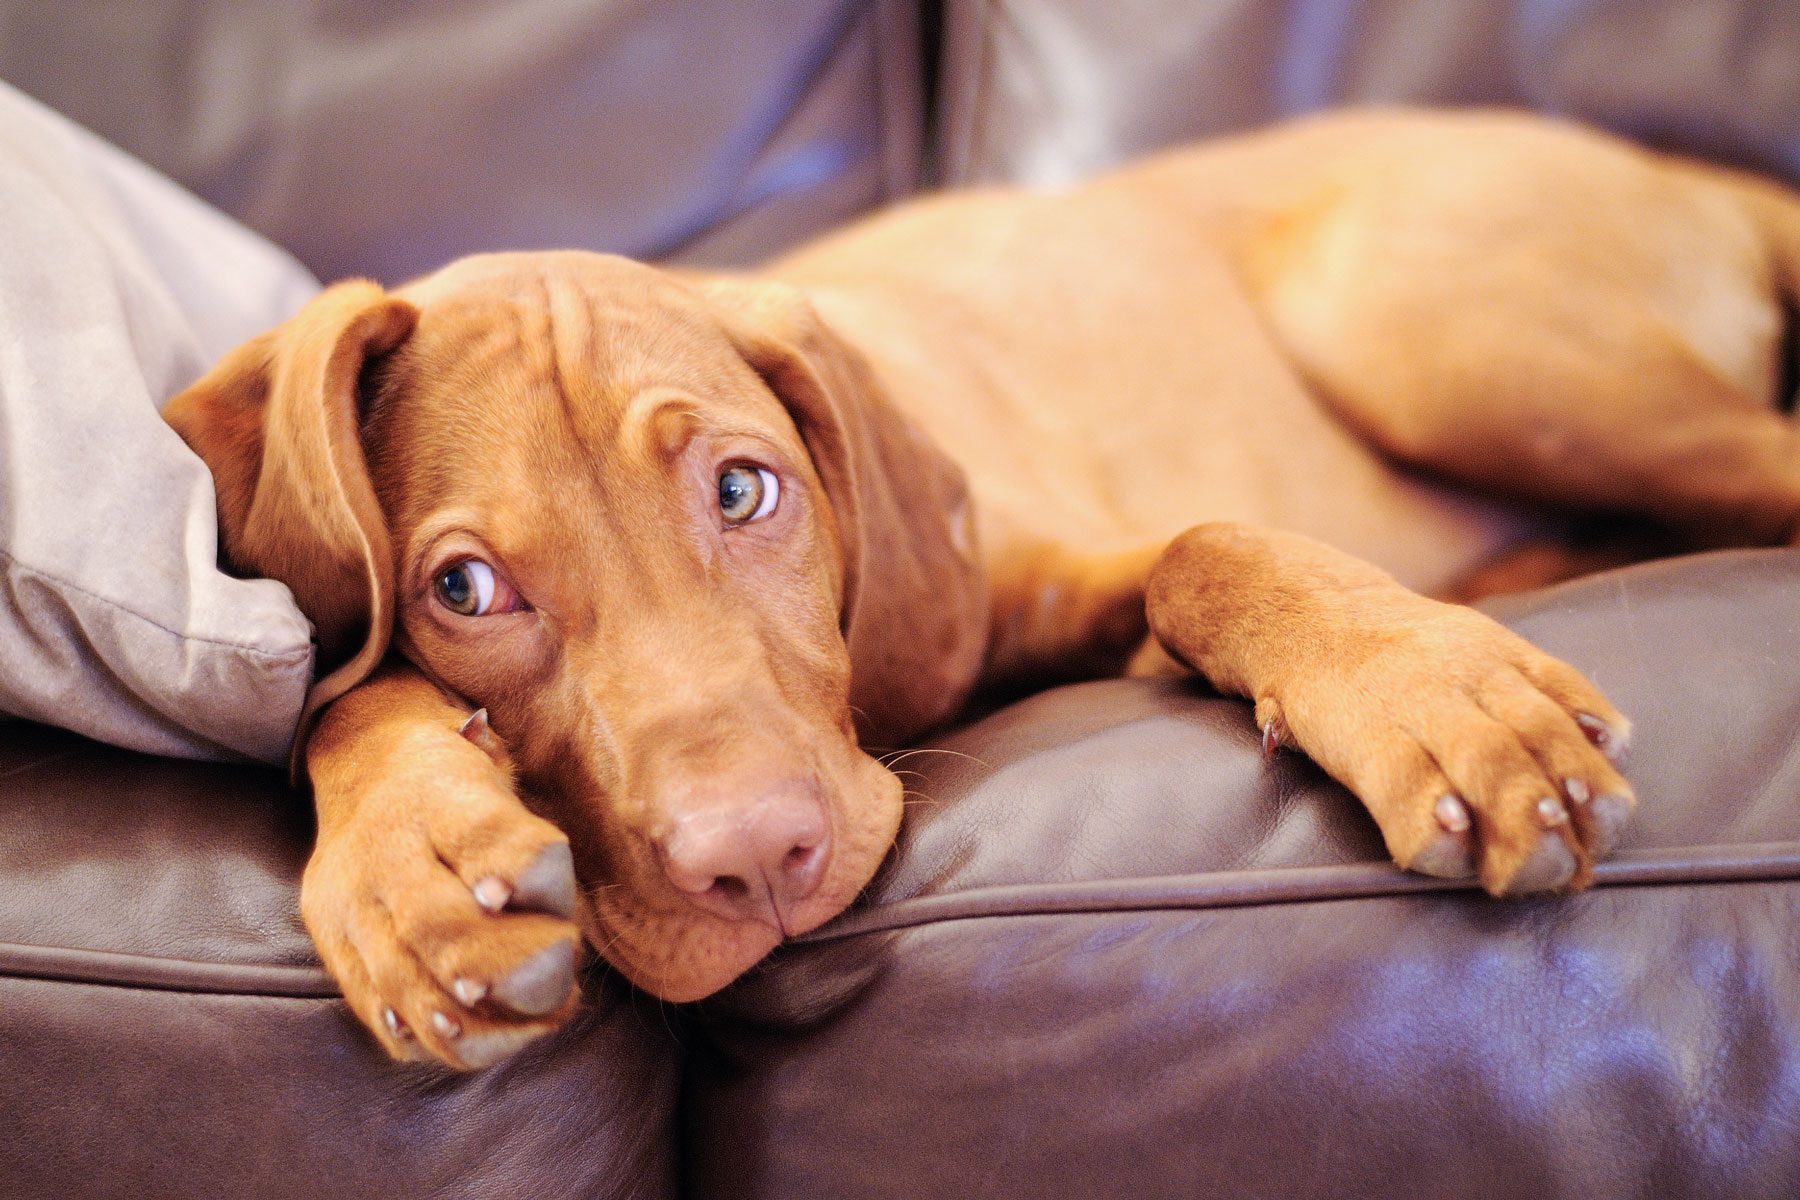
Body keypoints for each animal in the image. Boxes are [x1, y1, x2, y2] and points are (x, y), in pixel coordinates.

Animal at [165, 110, 1800, 1072]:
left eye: (745, 492)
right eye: (465, 586)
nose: (758, 864)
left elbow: (1209, 542)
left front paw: (1432, 691)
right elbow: (347, 690)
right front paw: (411, 863)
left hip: (1419, 324)